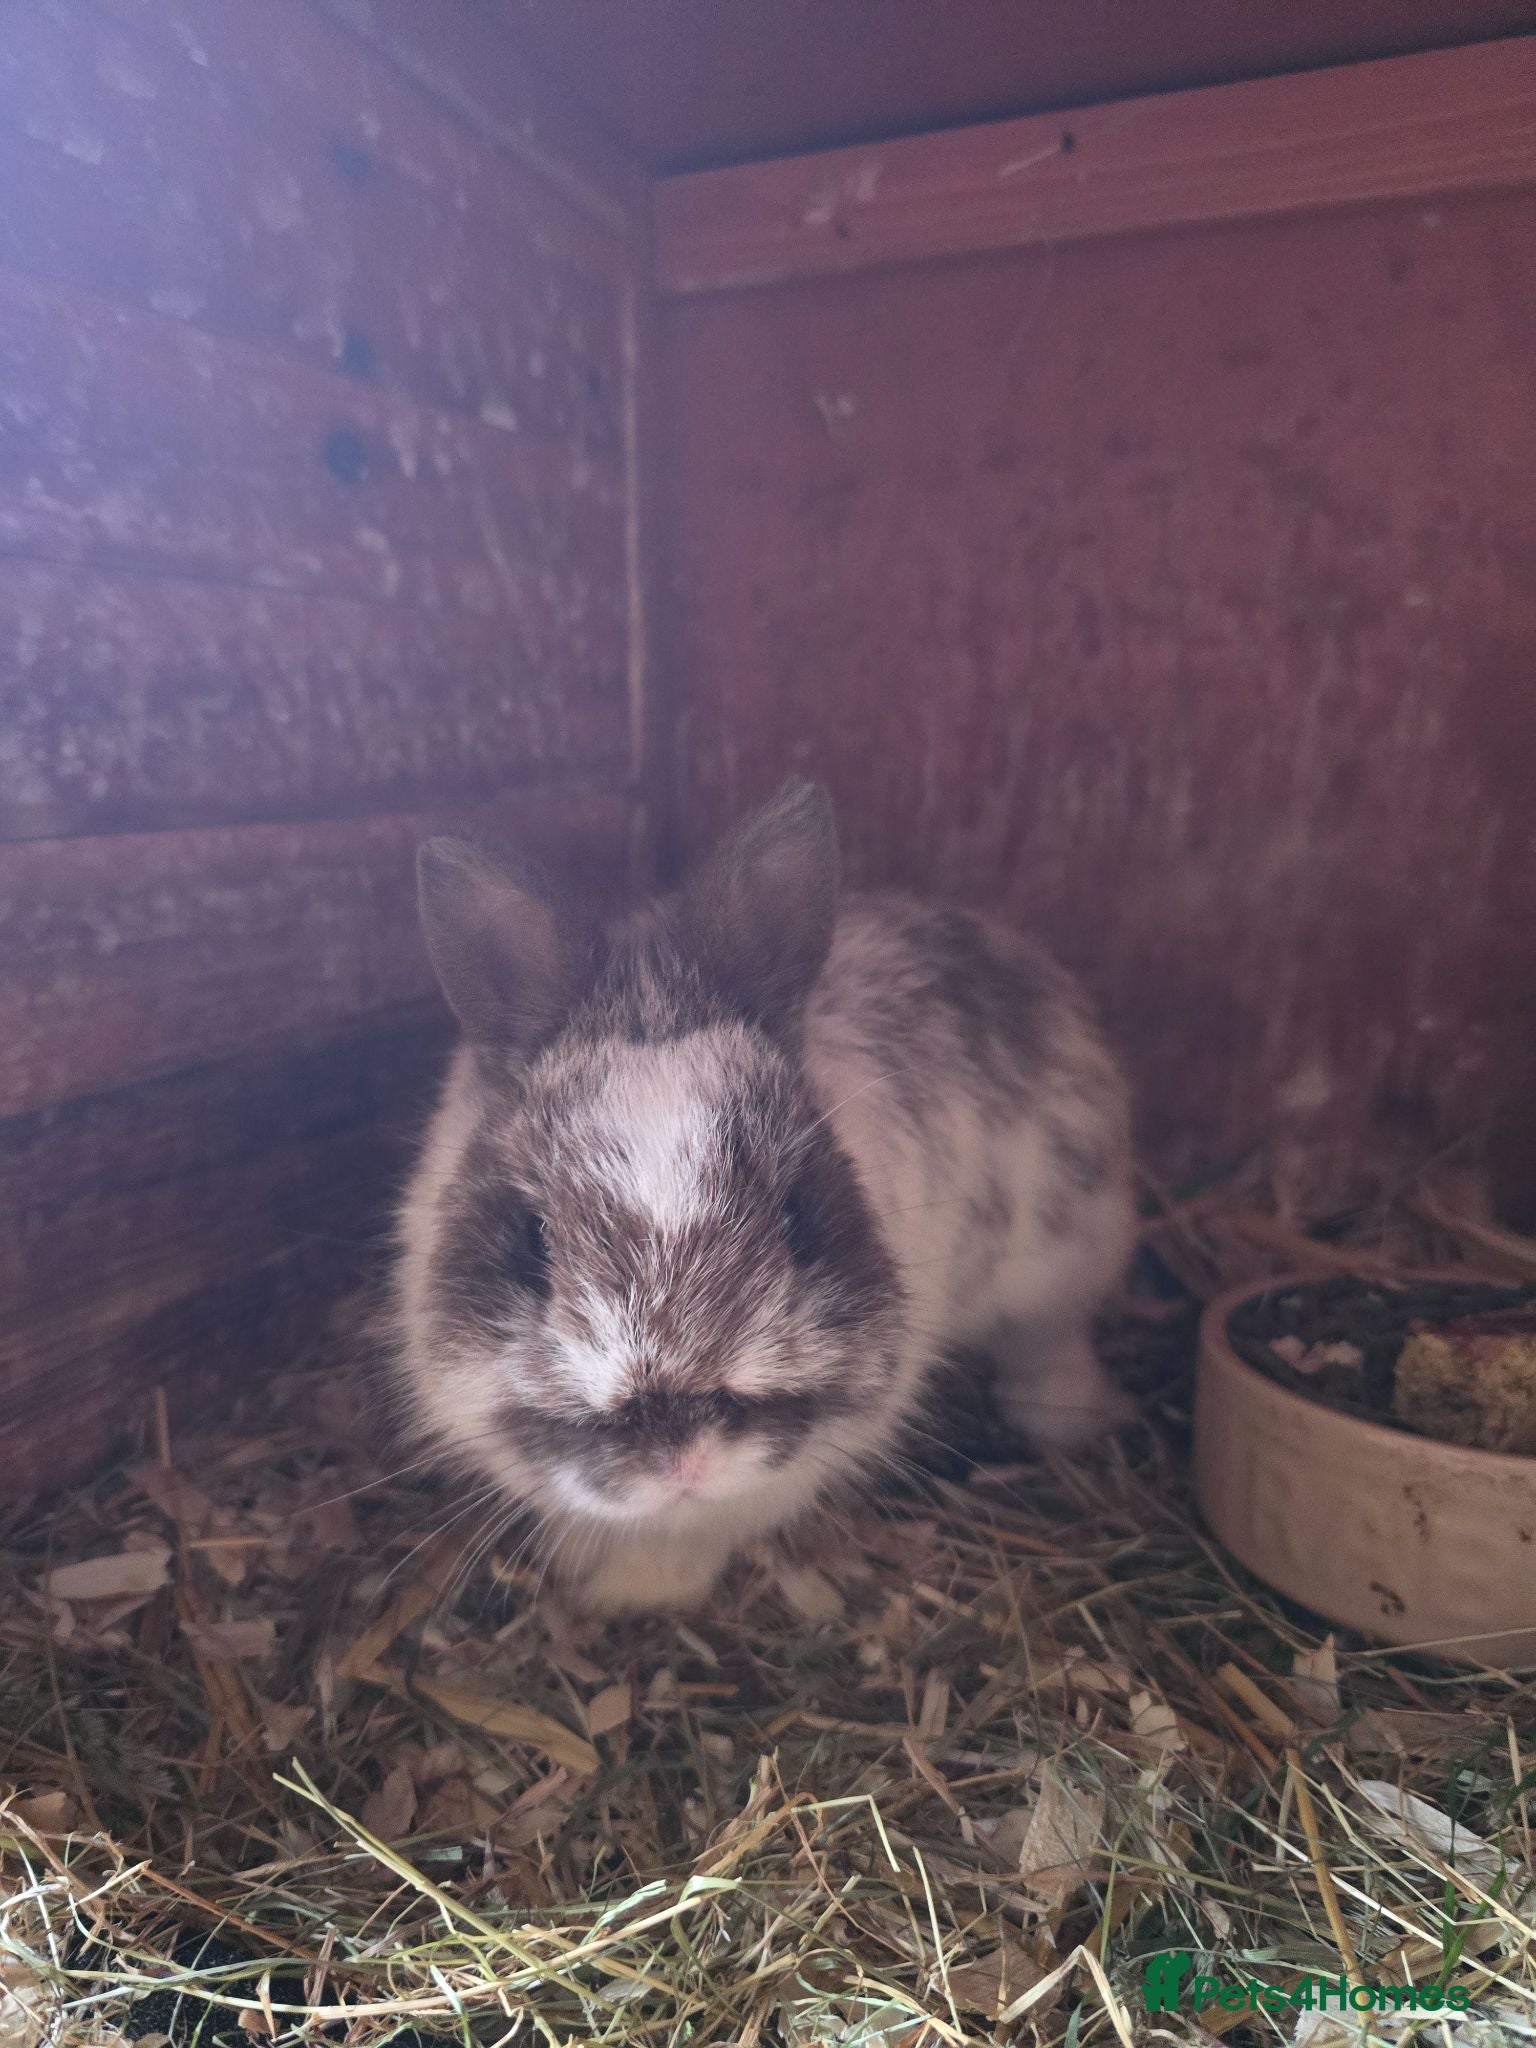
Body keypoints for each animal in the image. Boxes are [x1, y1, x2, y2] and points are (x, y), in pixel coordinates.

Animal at [391, 781, 1134, 1615]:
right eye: (533, 1237)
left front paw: (634, 1590)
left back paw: (1064, 1417)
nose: (682, 1454)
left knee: (1052, 1337)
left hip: (1066, 1253)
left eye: (794, 1214)